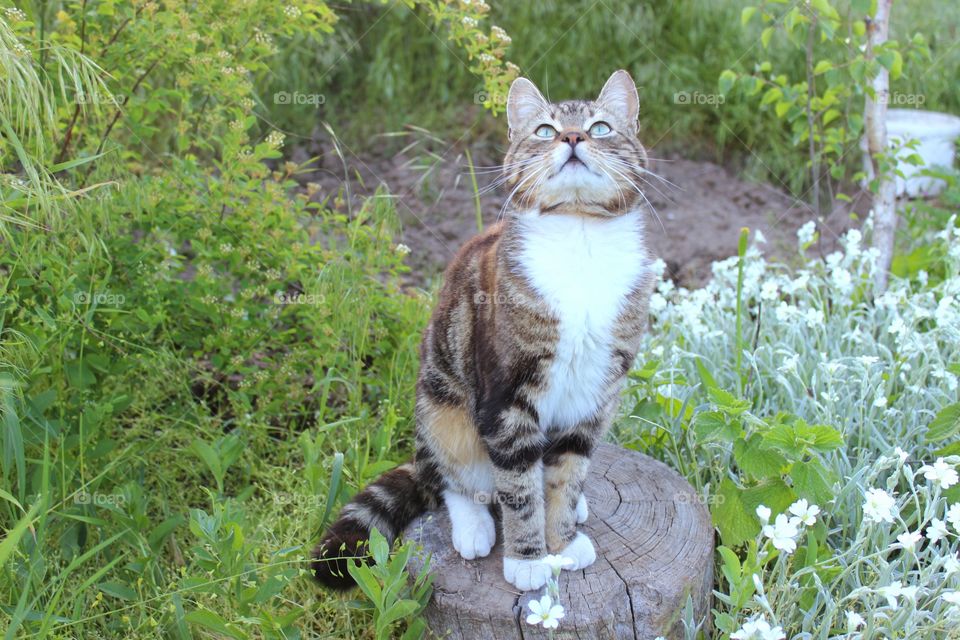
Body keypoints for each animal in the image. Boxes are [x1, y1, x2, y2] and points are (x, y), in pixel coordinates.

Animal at [312, 69, 656, 592]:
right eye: (544, 131)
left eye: (600, 127)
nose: (573, 138)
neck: (580, 238)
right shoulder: (506, 396)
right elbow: (519, 488)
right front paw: (529, 560)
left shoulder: (595, 394)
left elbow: (568, 472)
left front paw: (563, 540)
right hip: (443, 410)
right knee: (453, 481)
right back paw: (473, 526)